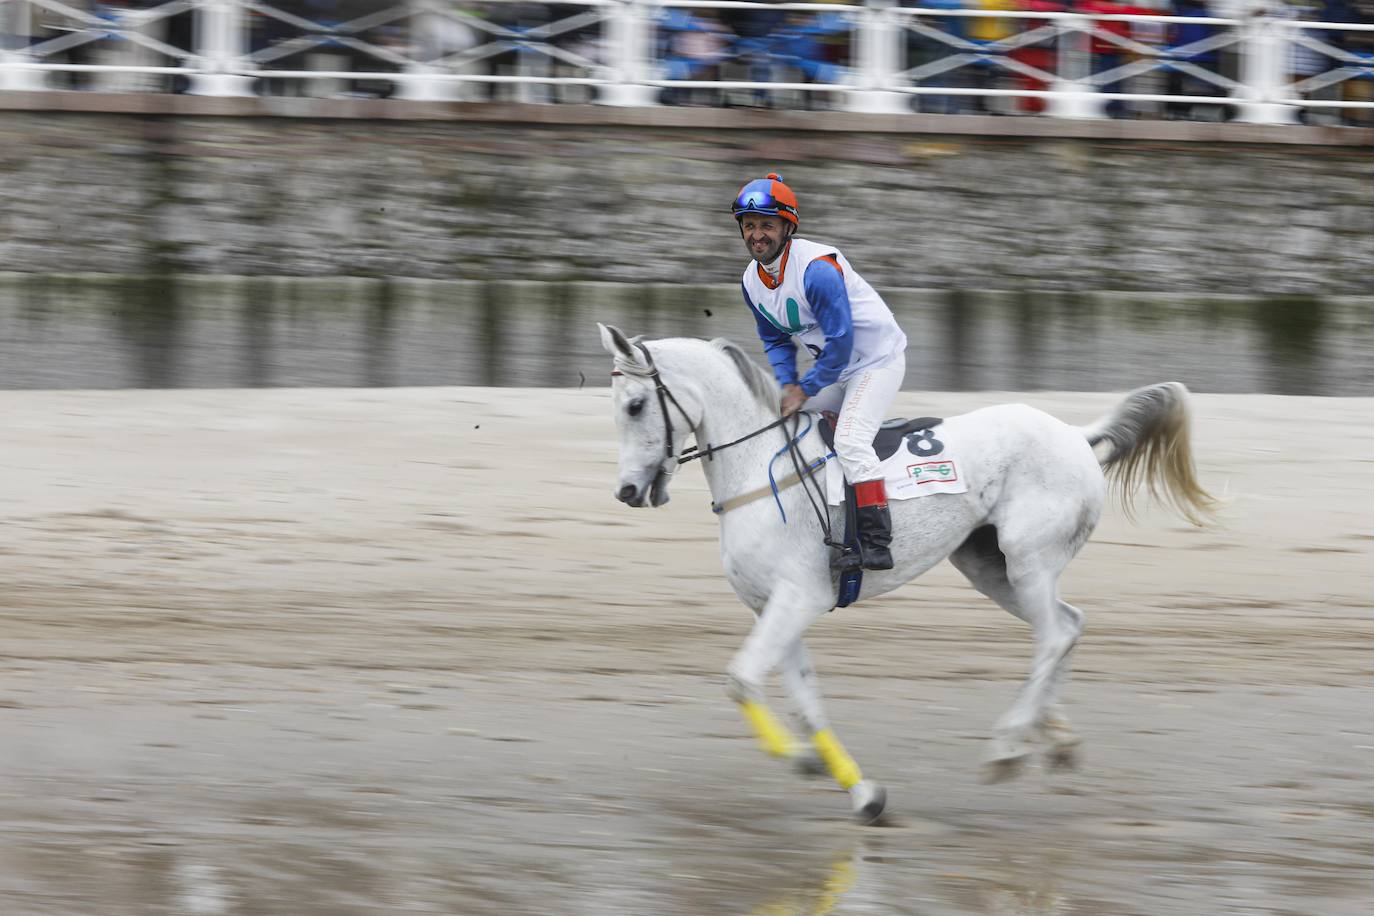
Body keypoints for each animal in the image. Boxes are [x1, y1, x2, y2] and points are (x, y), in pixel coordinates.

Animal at [601, 324, 1214, 823]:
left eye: (635, 405)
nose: (628, 491)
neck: (760, 469)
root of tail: (1073, 433)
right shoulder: (773, 606)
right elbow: (805, 703)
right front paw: (862, 793)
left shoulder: (797, 598)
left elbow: (741, 678)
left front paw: (801, 760)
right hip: (990, 567)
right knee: (1066, 625)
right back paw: (1054, 738)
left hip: (1029, 558)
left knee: (1056, 635)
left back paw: (1010, 746)